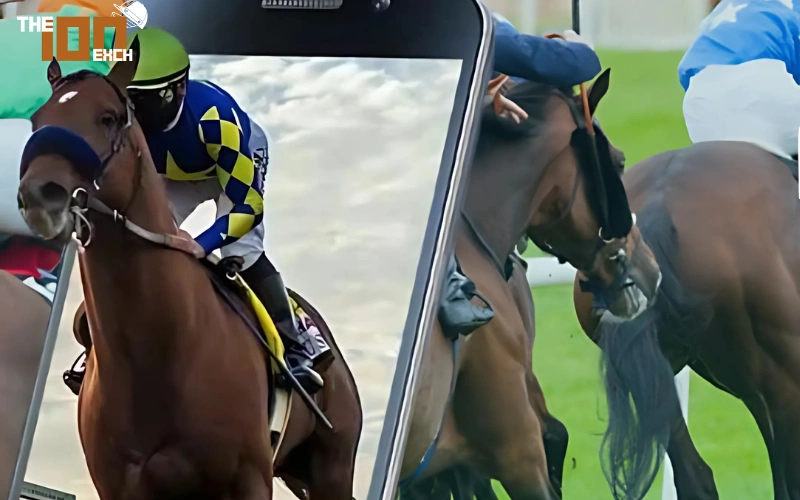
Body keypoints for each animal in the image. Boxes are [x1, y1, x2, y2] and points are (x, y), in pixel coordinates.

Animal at [16, 43, 361, 499]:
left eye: (107, 117)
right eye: (38, 120)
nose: (40, 195)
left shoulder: (250, 478)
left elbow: (247, 205)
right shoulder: (122, 485)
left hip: (331, 469)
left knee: (247, 245)